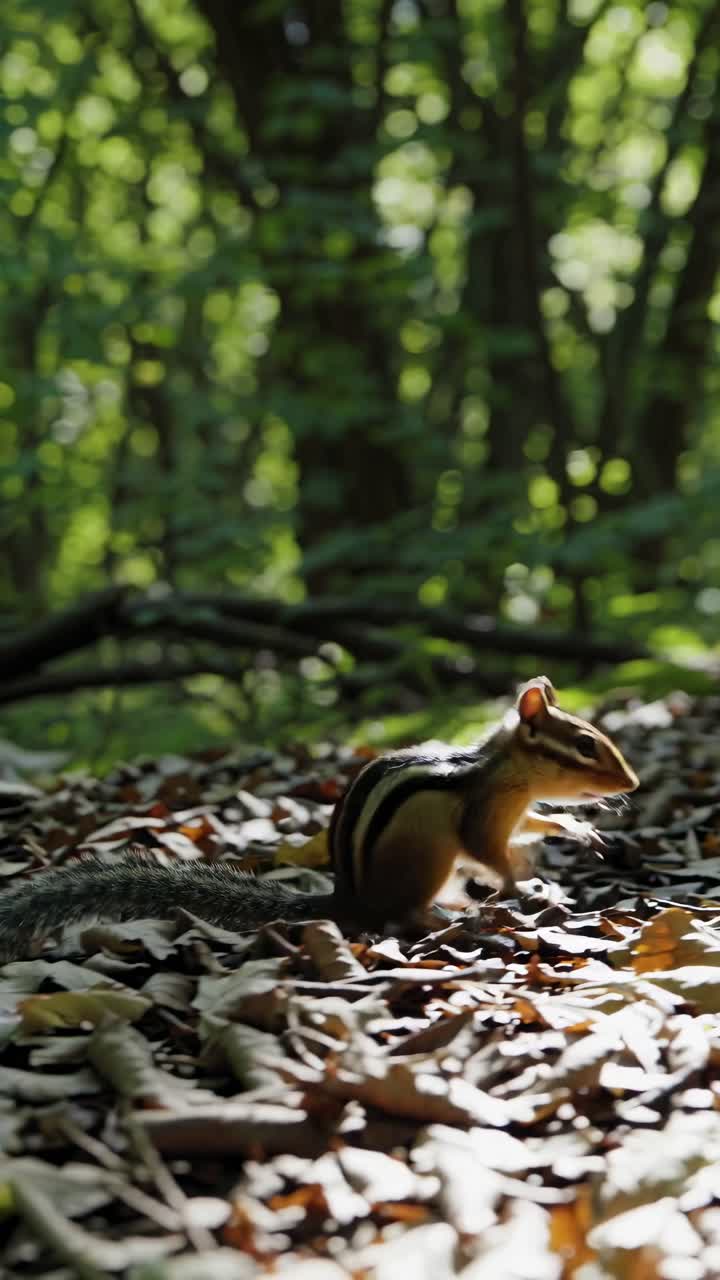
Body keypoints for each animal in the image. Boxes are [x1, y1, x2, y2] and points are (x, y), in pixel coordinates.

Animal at [0, 677, 638, 962]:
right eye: (584, 745)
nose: (631, 785)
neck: (504, 771)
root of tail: (349, 900)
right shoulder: (483, 814)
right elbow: (487, 850)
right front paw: (517, 883)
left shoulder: (516, 812)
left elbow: (536, 826)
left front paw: (576, 831)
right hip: (427, 860)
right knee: (405, 917)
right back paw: (451, 918)